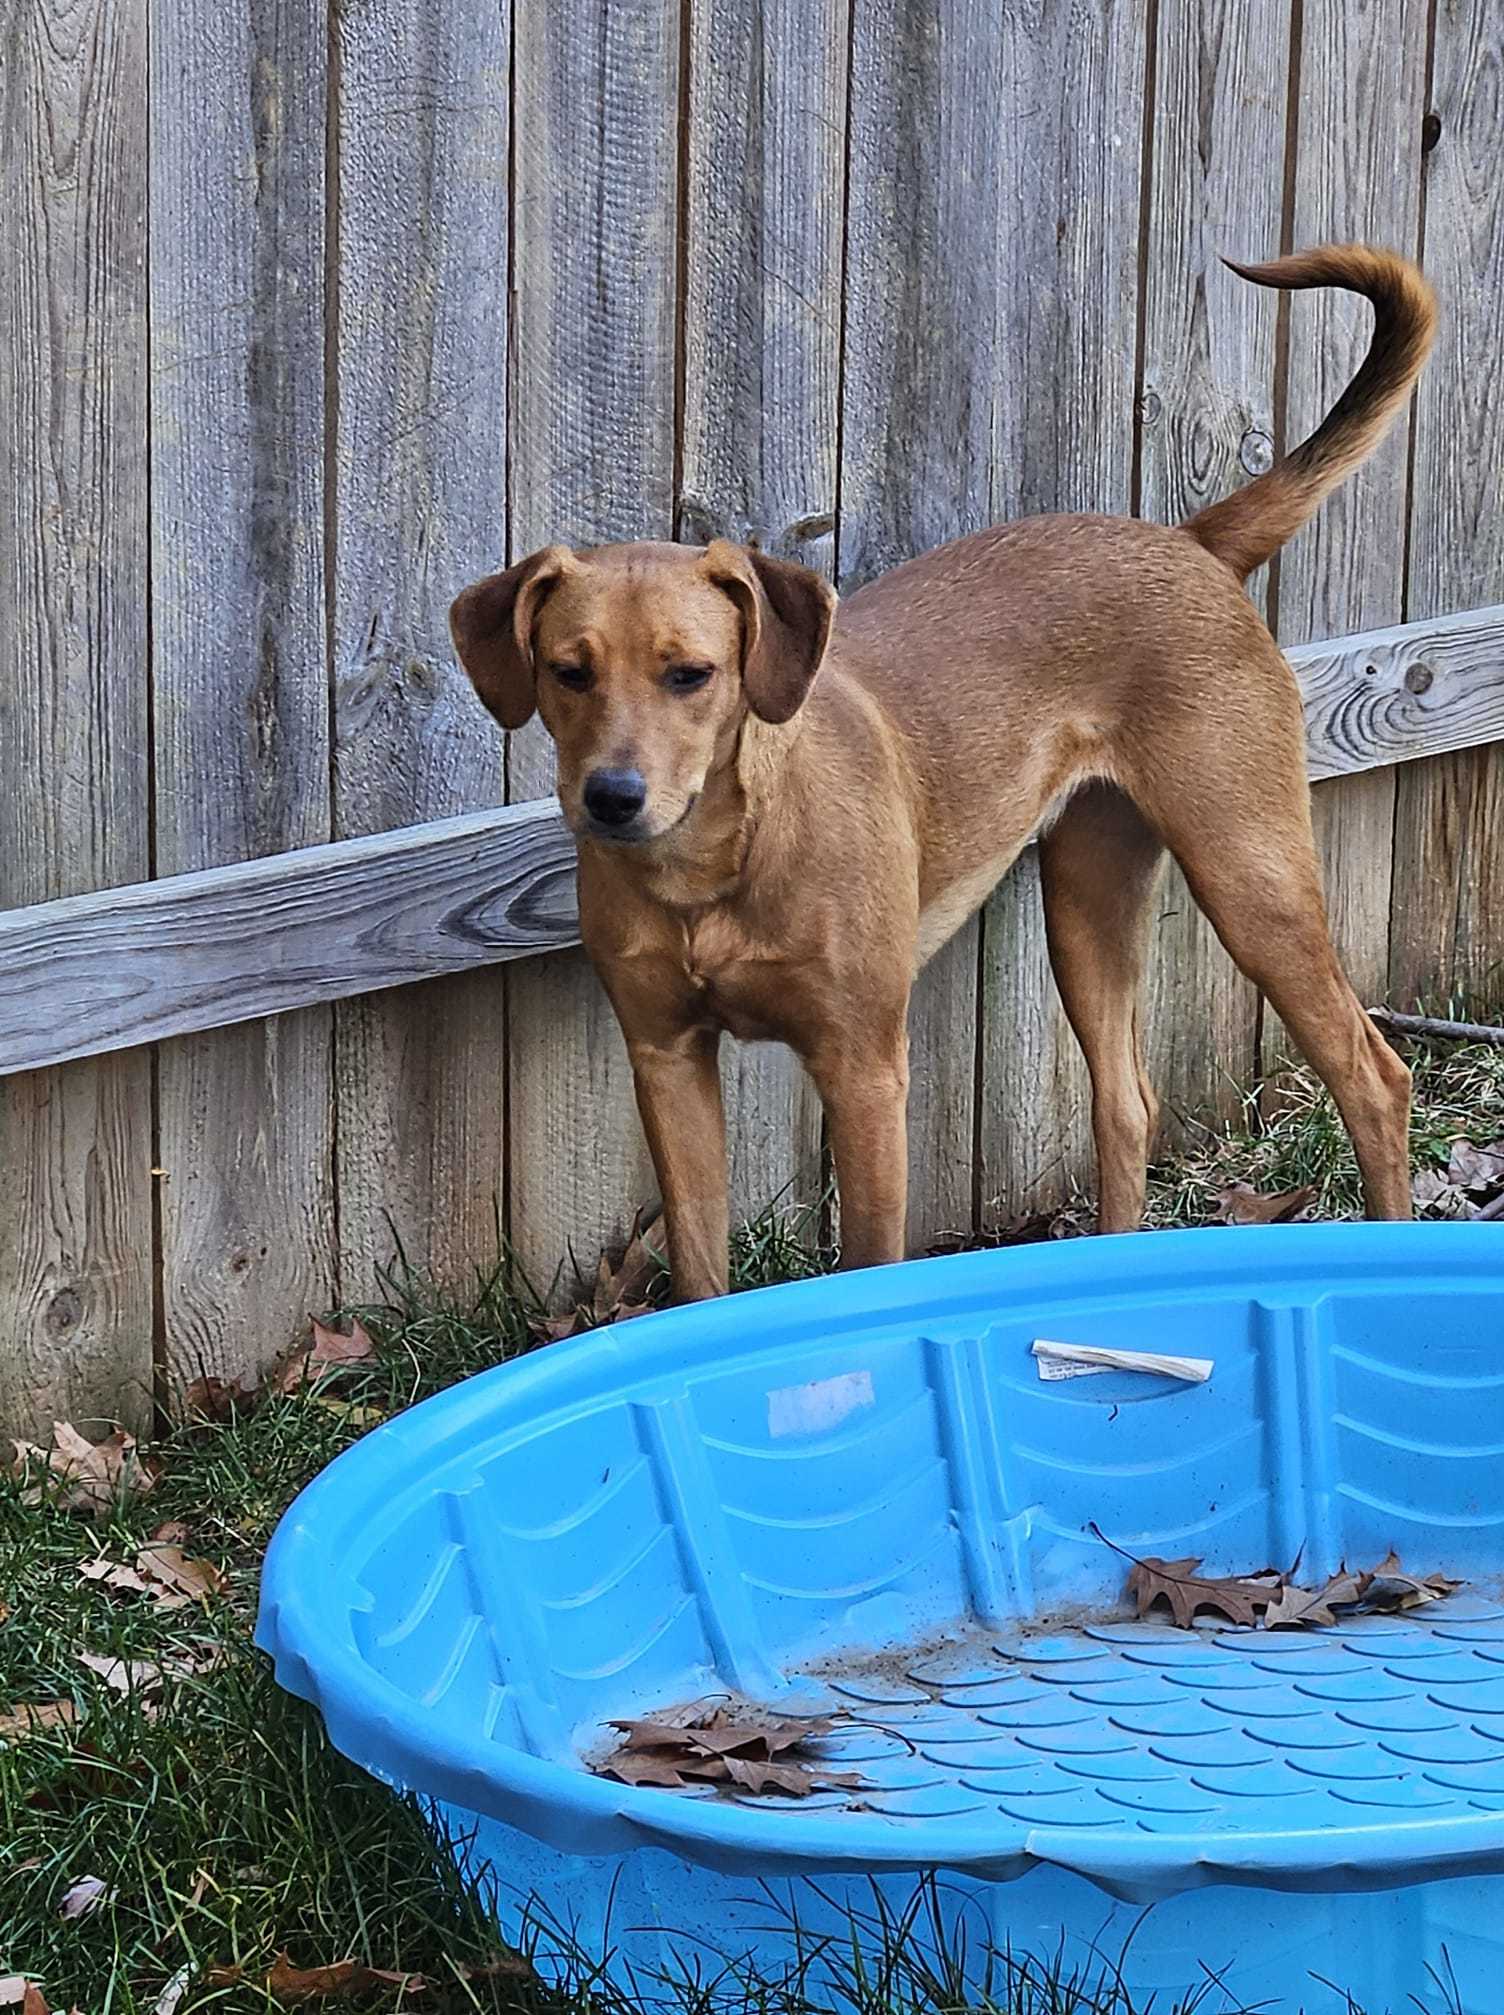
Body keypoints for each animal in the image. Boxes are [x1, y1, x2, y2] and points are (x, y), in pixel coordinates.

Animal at [453, 243, 1427, 1297]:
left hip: (1251, 878)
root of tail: (1188, 542)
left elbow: (869, 1260)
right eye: (568, 671)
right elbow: (702, 1279)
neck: (718, 864)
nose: (612, 800)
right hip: (1086, 901)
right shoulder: (667, 1060)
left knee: (1373, 1077)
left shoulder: (865, 1069)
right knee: (1127, 1104)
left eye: (690, 674)